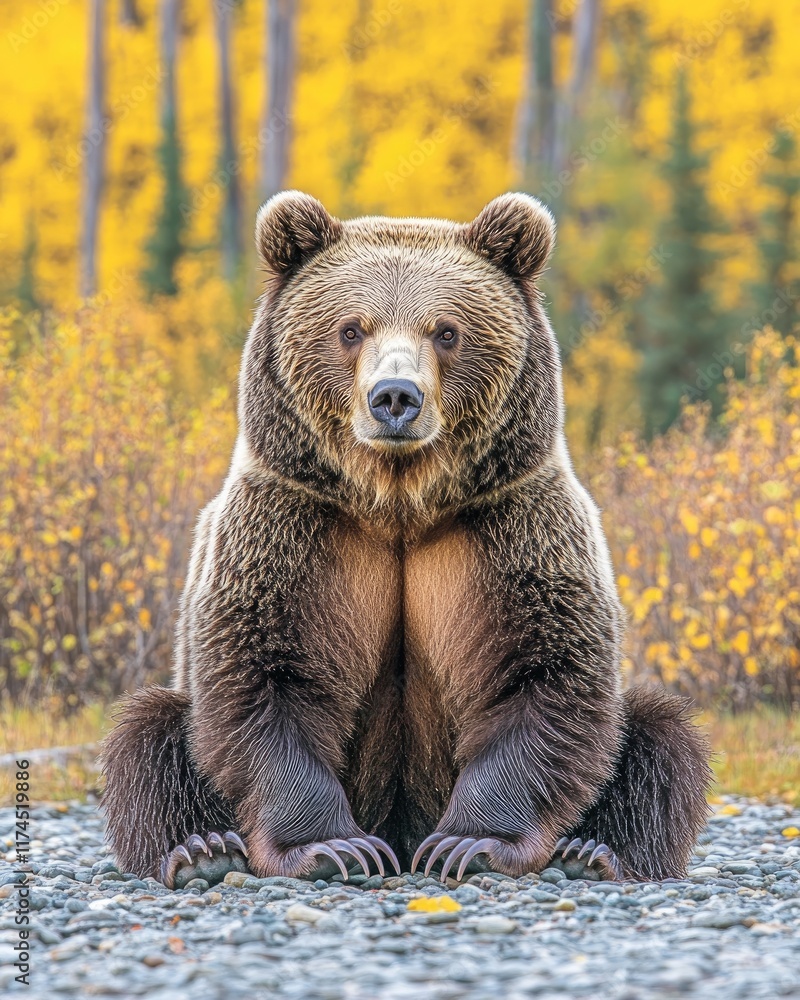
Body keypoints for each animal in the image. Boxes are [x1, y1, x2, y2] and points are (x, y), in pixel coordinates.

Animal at [101, 190, 710, 889]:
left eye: (446, 330)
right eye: (350, 328)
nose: (395, 396)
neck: (398, 505)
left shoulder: (512, 528)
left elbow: (543, 674)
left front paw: (472, 843)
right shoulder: (291, 528)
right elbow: (263, 678)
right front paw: (332, 847)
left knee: (659, 738)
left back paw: (591, 852)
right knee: (148, 737)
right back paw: (204, 848)